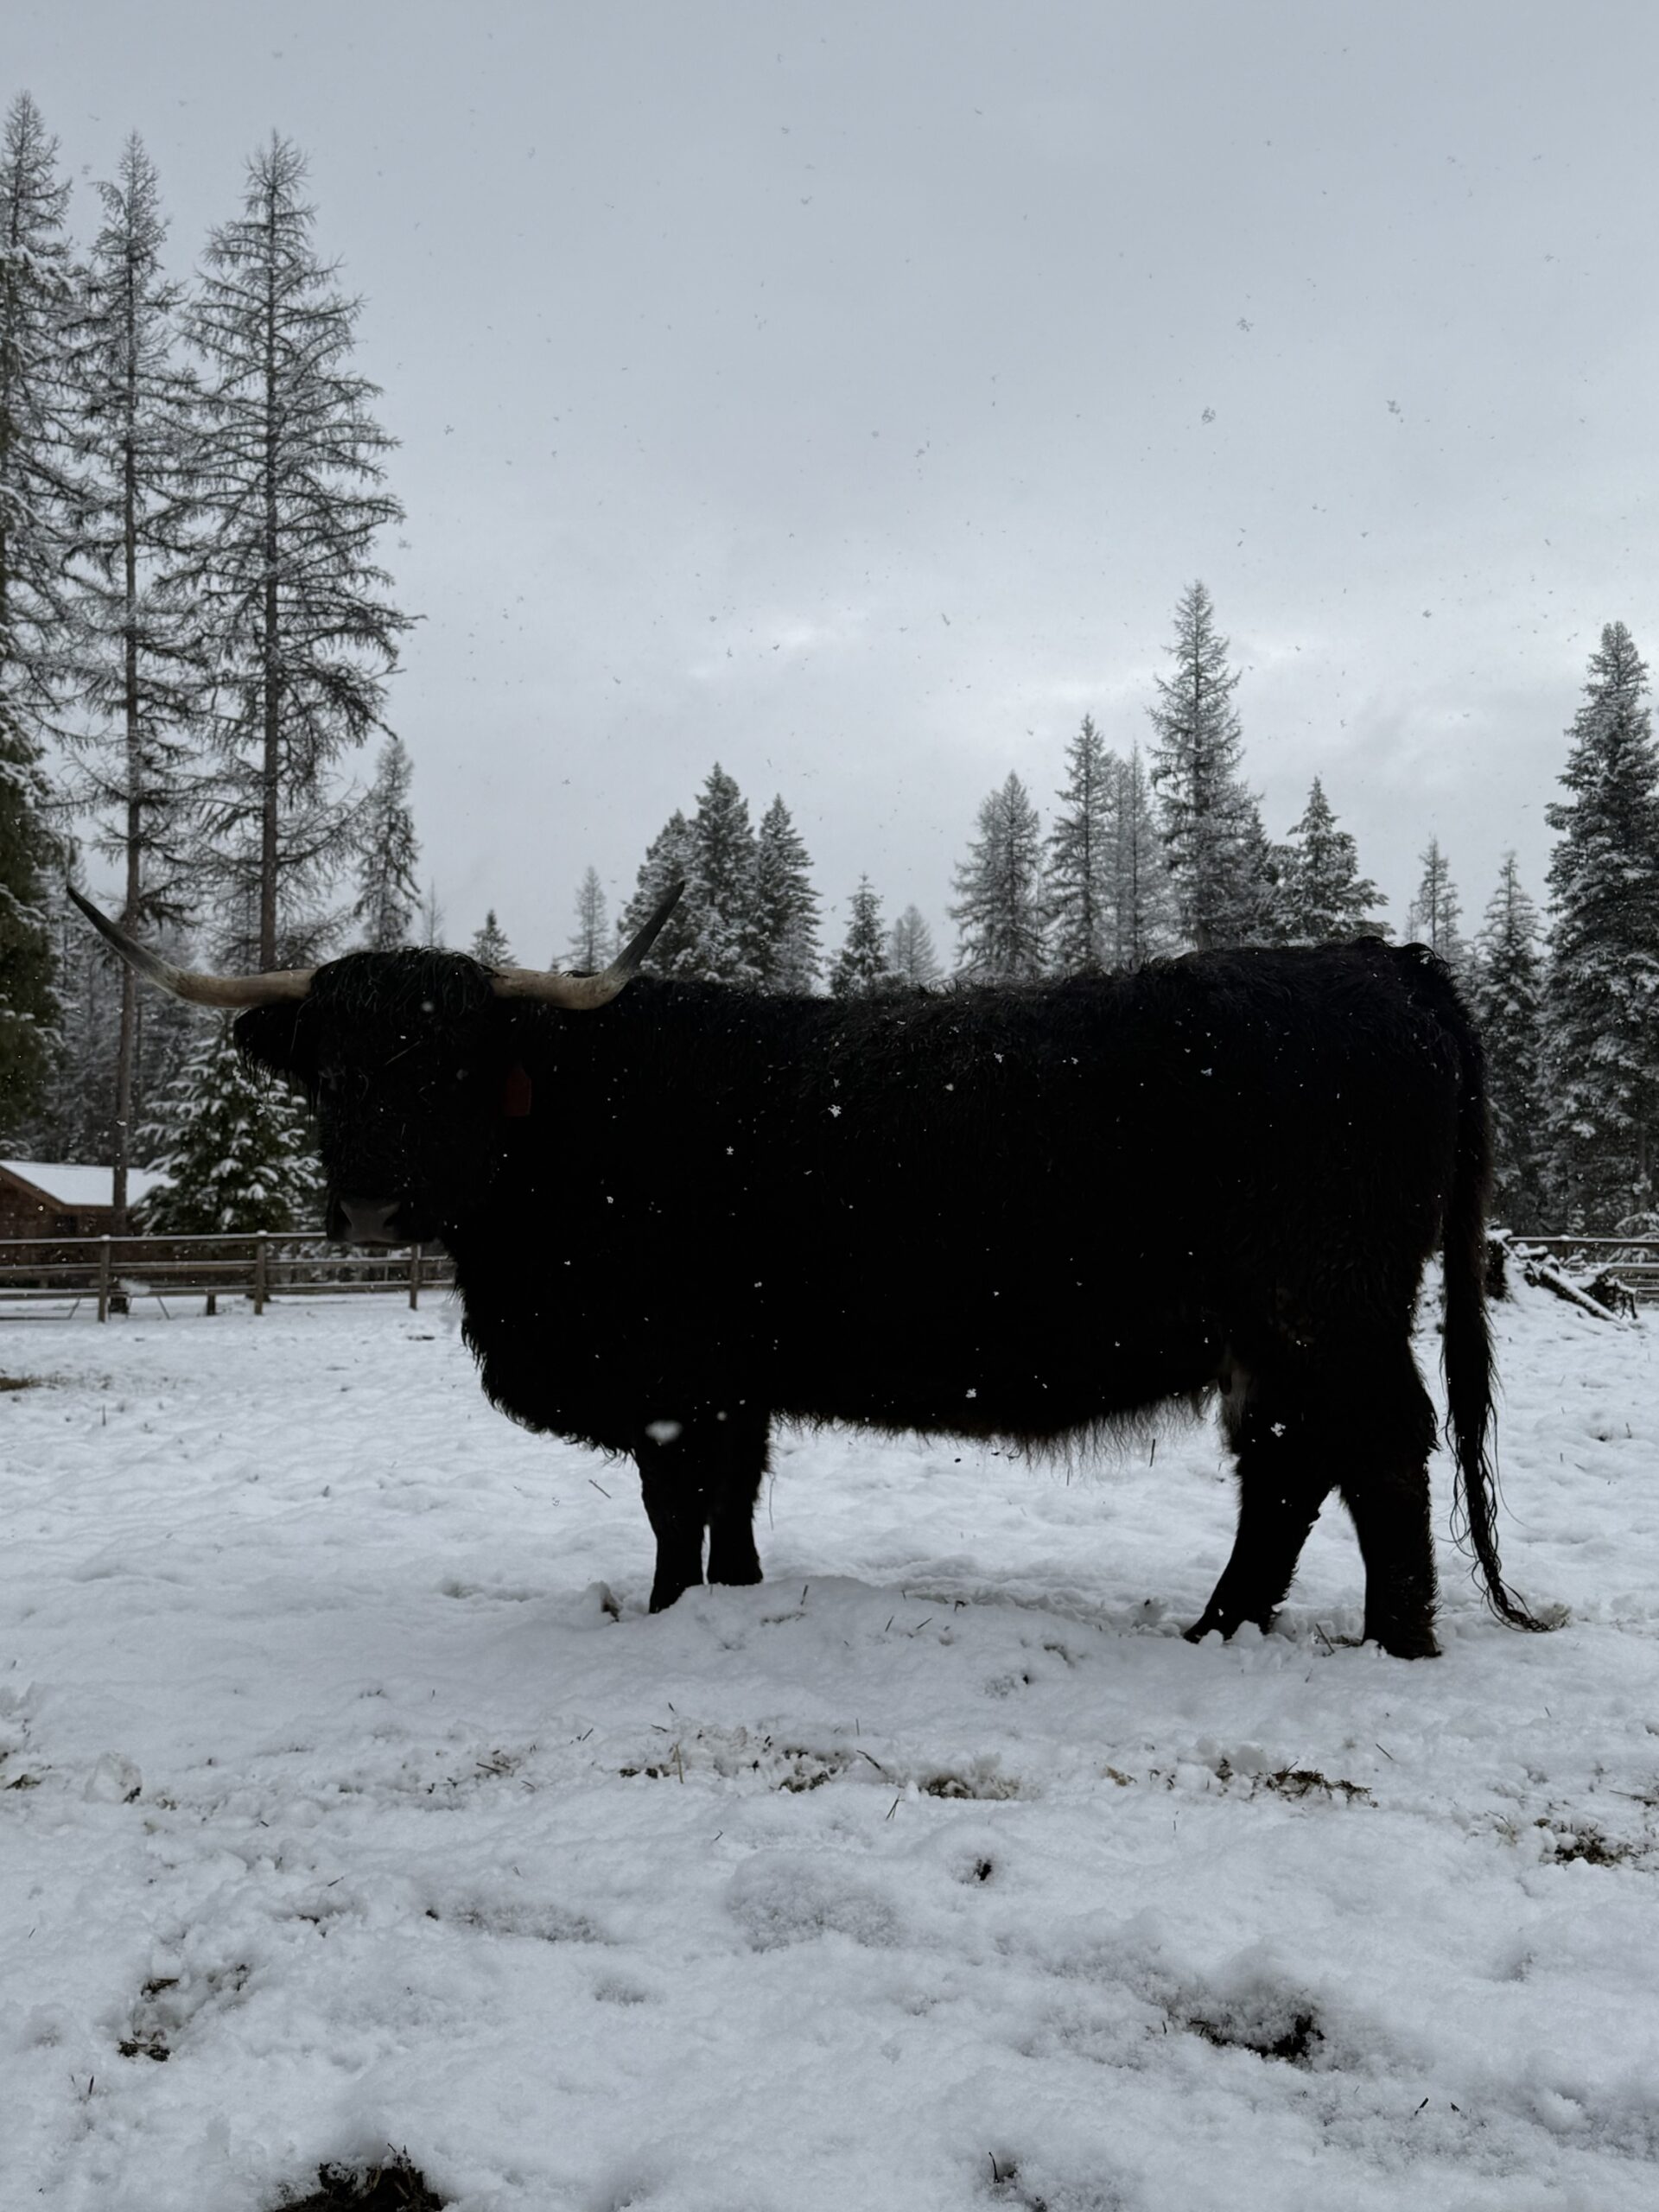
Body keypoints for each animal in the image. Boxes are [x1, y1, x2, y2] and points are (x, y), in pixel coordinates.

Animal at [73, 883, 1537, 1658]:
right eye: (332, 1065)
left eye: (447, 1062)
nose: (371, 1195)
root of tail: (1382, 960)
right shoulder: (735, 1380)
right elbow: (732, 1509)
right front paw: (732, 1601)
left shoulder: (669, 1376)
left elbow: (675, 1512)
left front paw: (666, 1617)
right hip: (1273, 1331)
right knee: (1291, 1466)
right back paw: (1221, 1628)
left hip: (1324, 1305)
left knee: (1377, 1451)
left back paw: (1396, 1639)